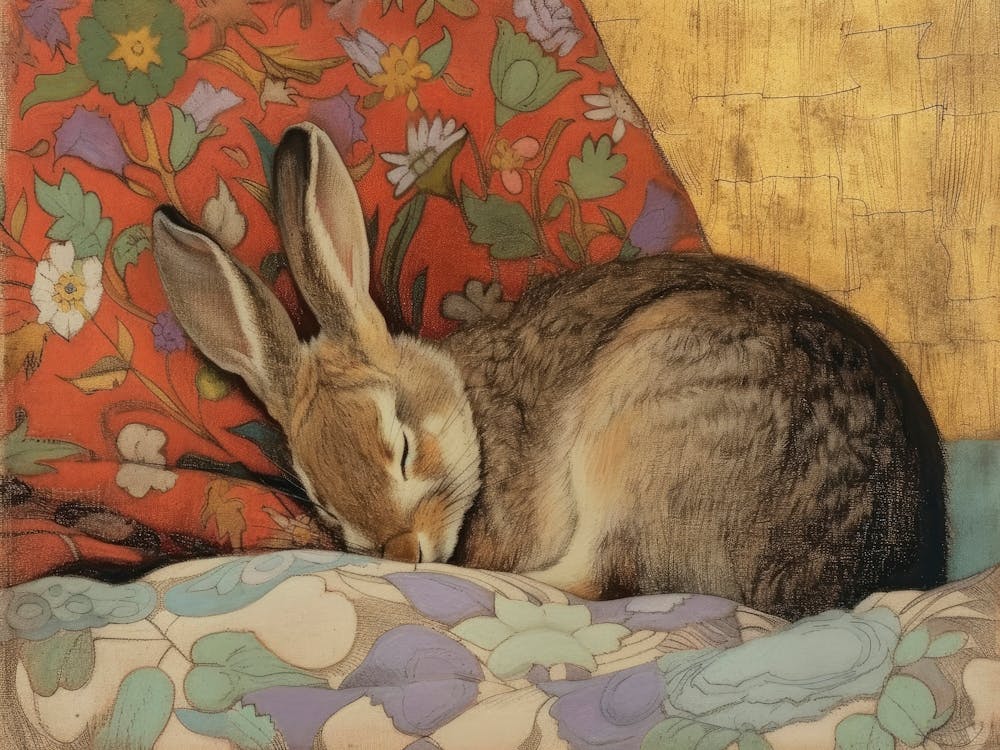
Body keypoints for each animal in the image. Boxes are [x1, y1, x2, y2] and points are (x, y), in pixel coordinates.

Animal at [152, 122, 947, 620]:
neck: (469, 410)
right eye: (321, 501)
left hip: (640, 428)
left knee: (597, 582)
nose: (404, 553)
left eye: (402, 445)